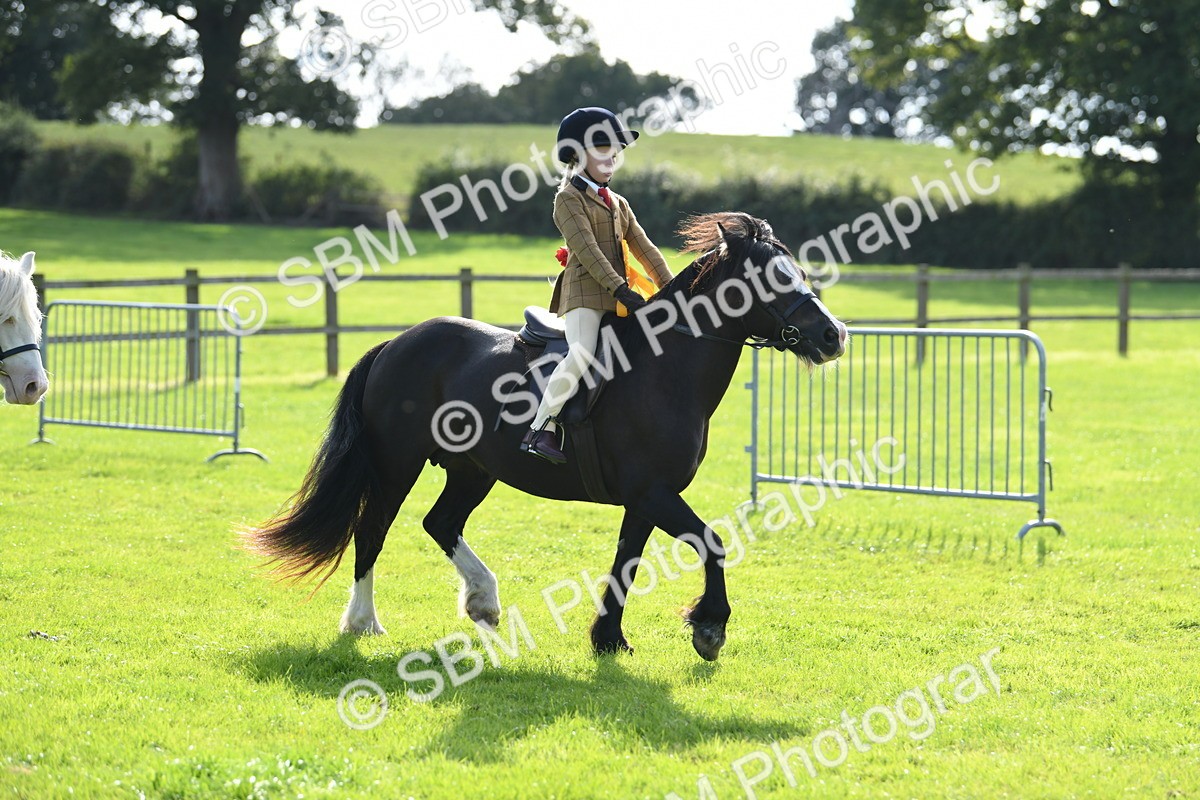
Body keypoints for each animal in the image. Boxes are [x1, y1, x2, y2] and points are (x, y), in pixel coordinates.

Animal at [244, 212, 847, 661]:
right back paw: (363, 622)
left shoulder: (645, 499)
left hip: (472, 470)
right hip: (397, 463)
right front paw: (709, 629)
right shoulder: (654, 493)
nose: (833, 335)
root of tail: (396, 343)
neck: (664, 366)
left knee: (440, 523)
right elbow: (712, 544)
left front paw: (609, 640)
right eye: (772, 278)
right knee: (372, 530)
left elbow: (626, 562)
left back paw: (483, 603)